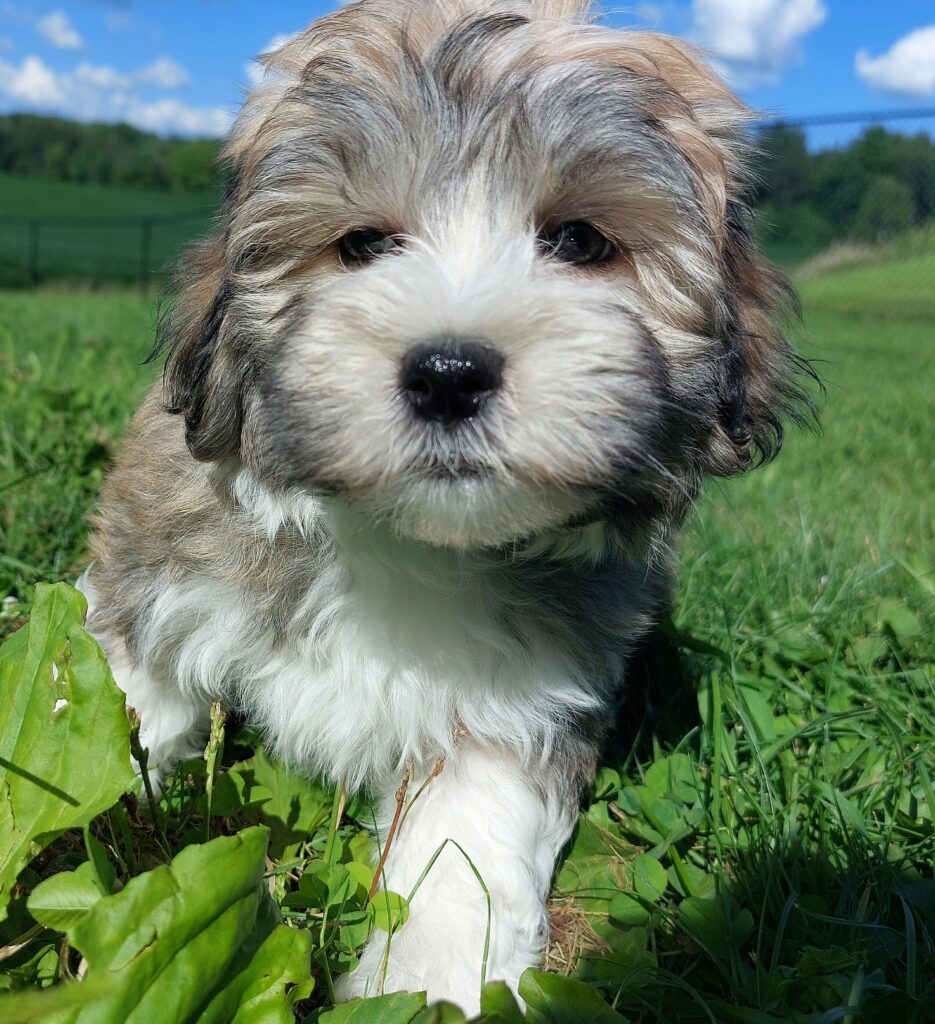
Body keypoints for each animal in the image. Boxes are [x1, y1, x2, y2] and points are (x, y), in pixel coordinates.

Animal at [81, 0, 812, 1012]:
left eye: (580, 243)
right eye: (360, 245)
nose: (449, 372)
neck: (404, 540)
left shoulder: (516, 704)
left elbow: (467, 839)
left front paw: (428, 983)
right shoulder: (154, 567)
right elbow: (124, 698)